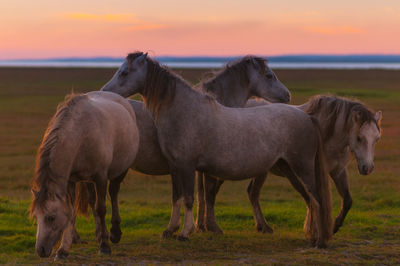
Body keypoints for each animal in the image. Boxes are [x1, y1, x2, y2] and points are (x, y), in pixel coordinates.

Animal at [29, 92, 139, 260]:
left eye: (51, 217)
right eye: (36, 217)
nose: (40, 250)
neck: (82, 135)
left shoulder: (100, 177)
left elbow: (101, 208)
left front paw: (104, 246)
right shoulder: (71, 180)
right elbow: (71, 211)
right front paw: (63, 250)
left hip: (120, 170)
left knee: (113, 194)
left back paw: (114, 233)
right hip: (88, 180)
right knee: (93, 201)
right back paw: (99, 234)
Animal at [101, 52, 332, 249]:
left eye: (124, 72)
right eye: (269, 75)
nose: (105, 91)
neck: (186, 111)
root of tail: (306, 116)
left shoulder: (188, 167)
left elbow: (191, 197)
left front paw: (185, 232)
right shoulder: (176, 167)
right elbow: (178, 197)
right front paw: (170, 230)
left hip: (300, 168)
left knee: (315, 199)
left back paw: (318, 241)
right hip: (288, 167)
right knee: (310, 199)